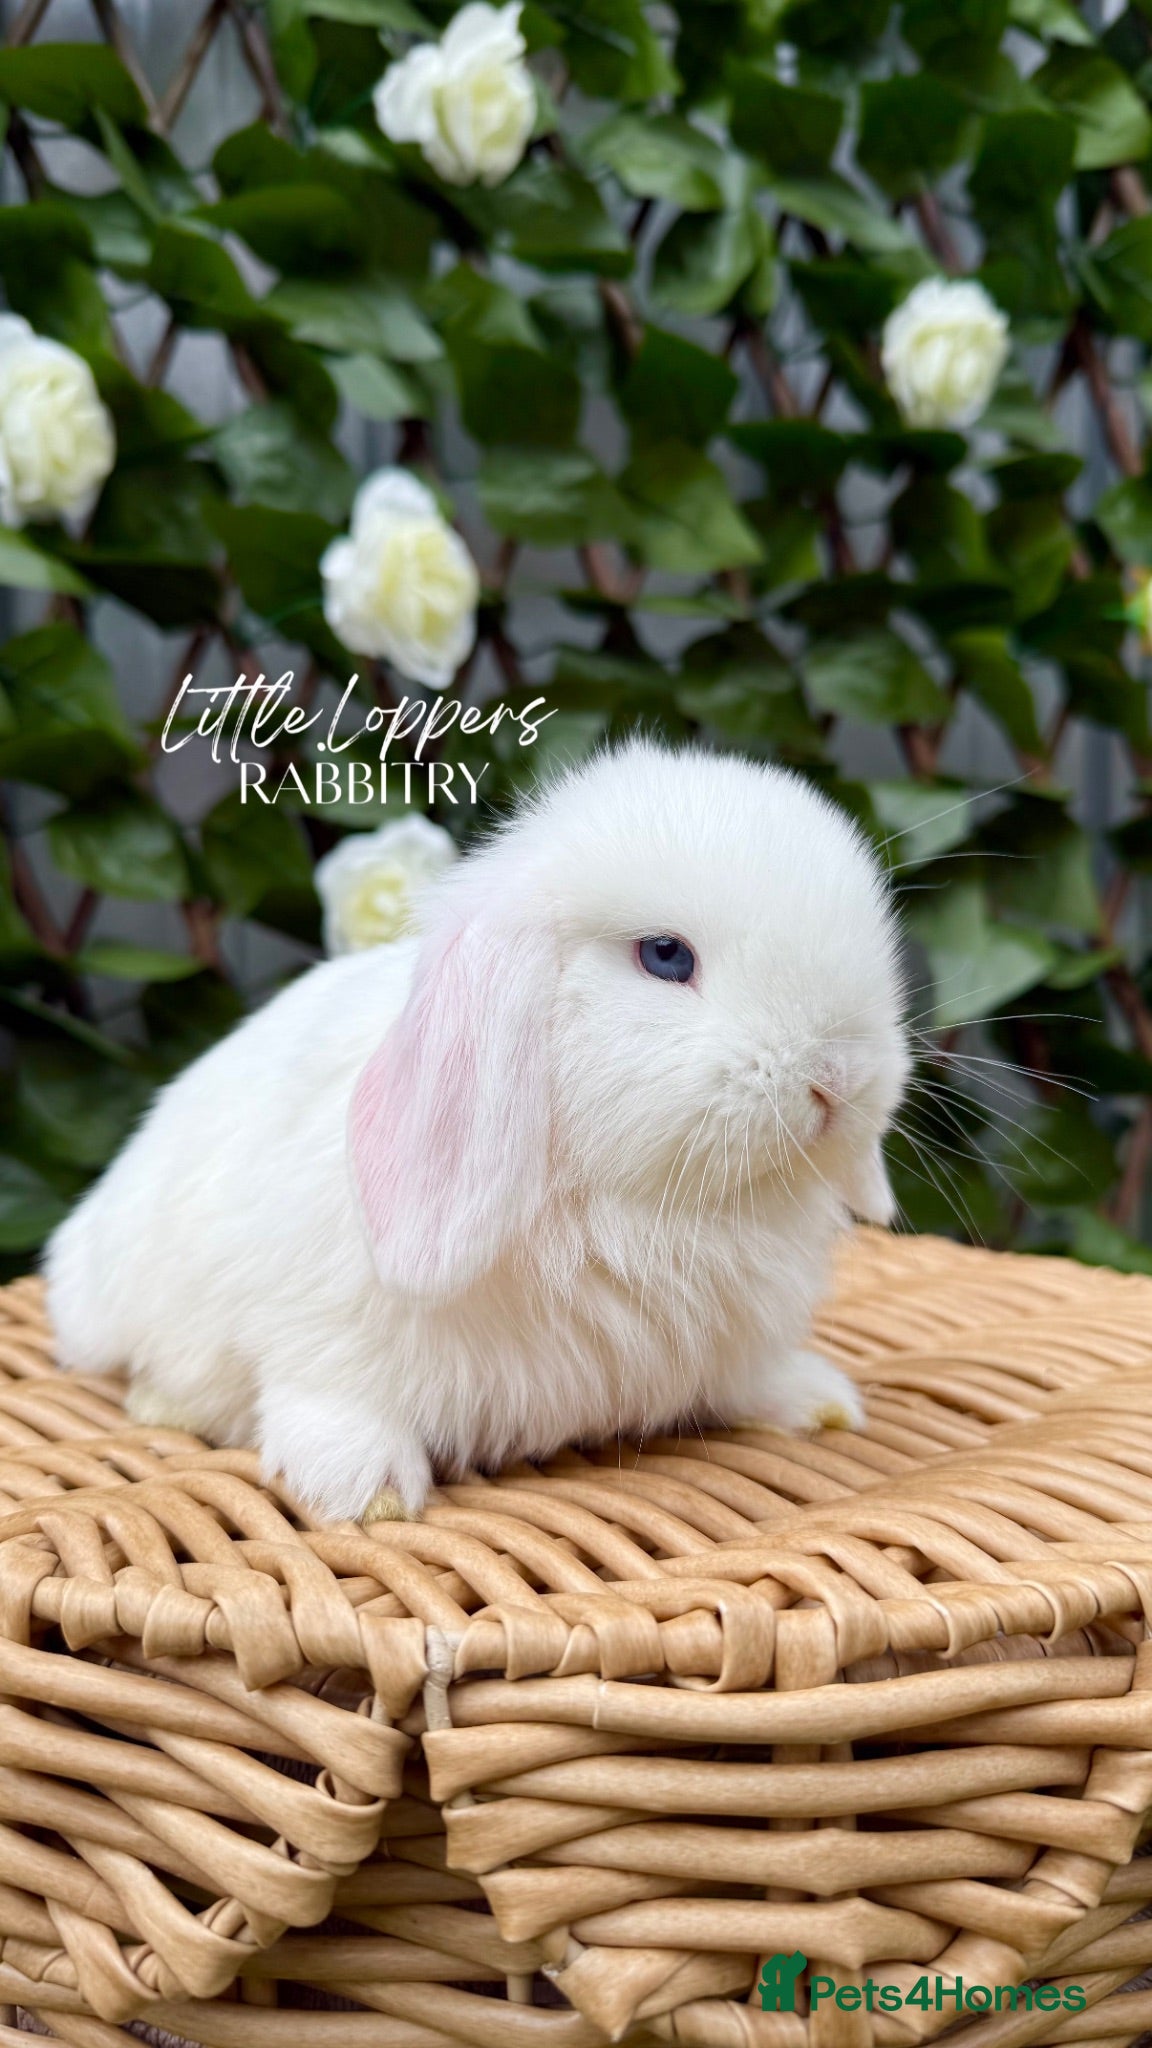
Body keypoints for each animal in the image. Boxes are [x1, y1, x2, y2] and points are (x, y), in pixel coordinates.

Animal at [44, 739, 909, 1524]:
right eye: (666, 955)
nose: (837, 1078)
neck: (633, 1206)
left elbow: (745, 1376)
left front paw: (816, 1399)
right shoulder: (320, 1330)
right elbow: (327, 1396)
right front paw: (364, 1493)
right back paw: (161, 1404)